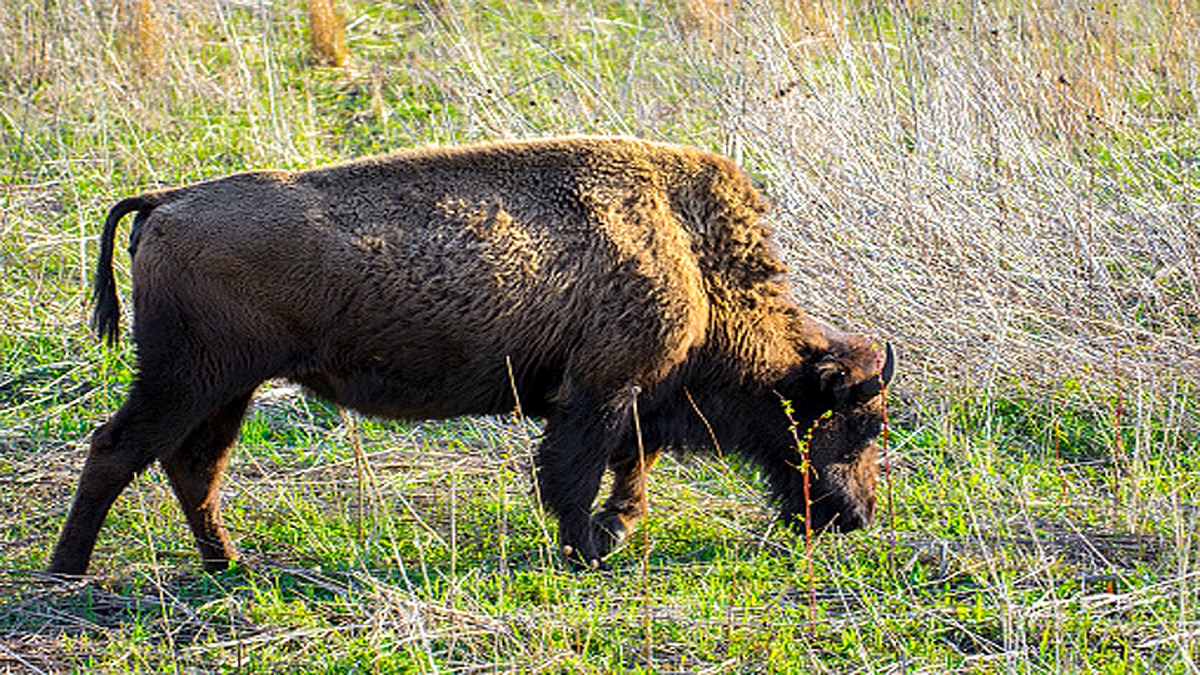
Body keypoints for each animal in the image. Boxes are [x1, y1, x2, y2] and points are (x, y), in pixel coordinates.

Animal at [49, 136, 894, 575]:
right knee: (118, 449)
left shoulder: (632, 396)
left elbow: (630, 464)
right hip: (187, 379)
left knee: (193, 468)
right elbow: (576, 470)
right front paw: (588, 548)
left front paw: (614, 531)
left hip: (227, 390)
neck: (691, 251)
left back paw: (230, 565)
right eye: (858, 423)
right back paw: (70, 568)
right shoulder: (601, 390)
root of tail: (168, 200)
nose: (854, 516)